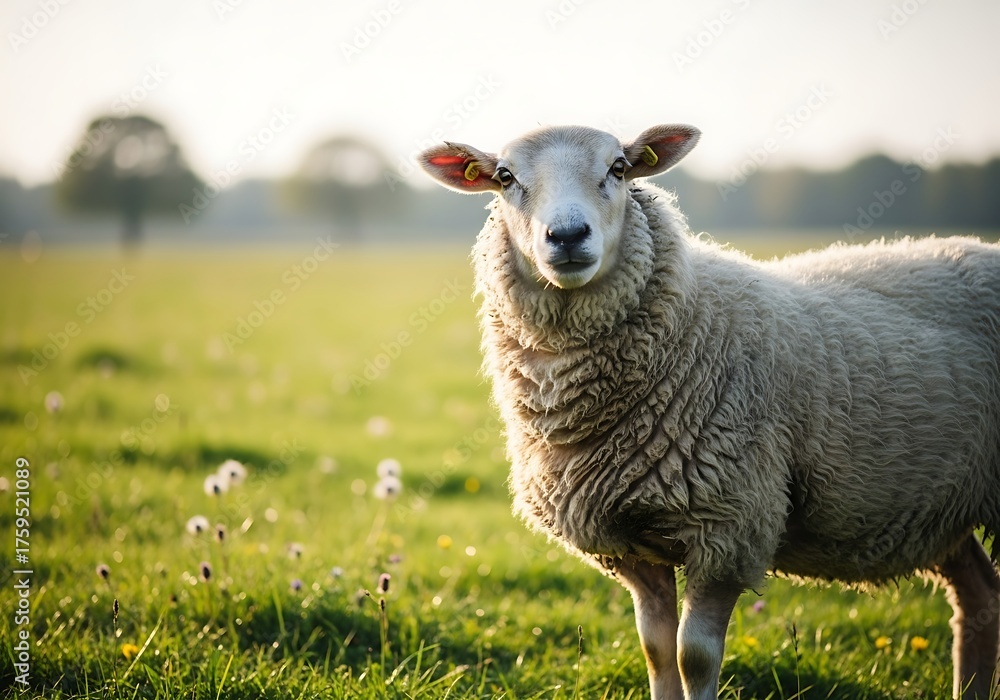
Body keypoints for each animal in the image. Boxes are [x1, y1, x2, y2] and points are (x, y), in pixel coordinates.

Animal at [418, 124, 1000, 700]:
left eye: (618, 168)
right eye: (505, 177)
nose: (566, 235)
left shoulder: (729, 527)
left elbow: (692, 656)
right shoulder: (630, 541)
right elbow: (655, 650)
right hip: (941, 505)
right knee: (979, 595)